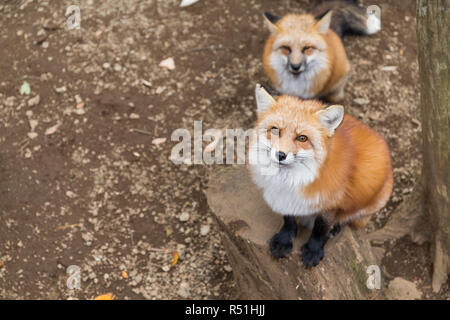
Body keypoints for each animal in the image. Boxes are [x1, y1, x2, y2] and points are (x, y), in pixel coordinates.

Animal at [248, 85, 392, 268]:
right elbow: (288, 220)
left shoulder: (330, 201)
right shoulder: (284, 198)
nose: (280, 155)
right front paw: (284, 240)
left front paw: (313, 250)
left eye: (302, 138)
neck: (291, 181)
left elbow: (320, 228)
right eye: (275, 130)